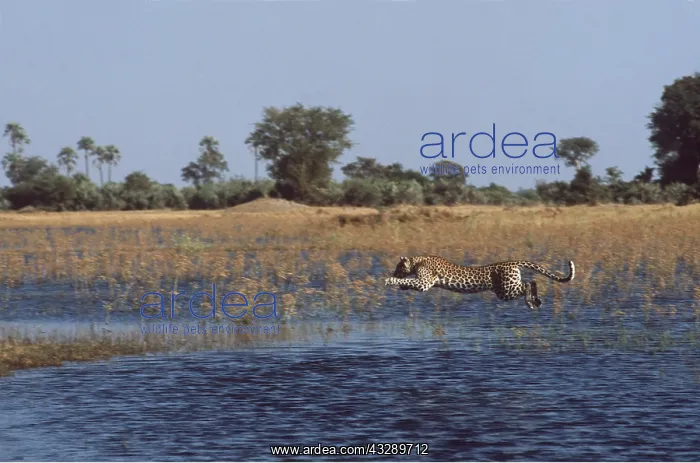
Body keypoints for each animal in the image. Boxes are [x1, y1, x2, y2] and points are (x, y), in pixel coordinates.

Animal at [384, 255, 575, 309]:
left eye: (398, 266)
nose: (394, 271)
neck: (417, 261)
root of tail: (513, 262)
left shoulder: (424, 283)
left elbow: (410, 281)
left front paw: (389, 279)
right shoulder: (422, 283)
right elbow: (408, 282)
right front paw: (398, 283)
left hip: (505, 290)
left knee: (528, 284)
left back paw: (530, 302)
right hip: (507, 289)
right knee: (532, 281)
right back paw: (537, 301)